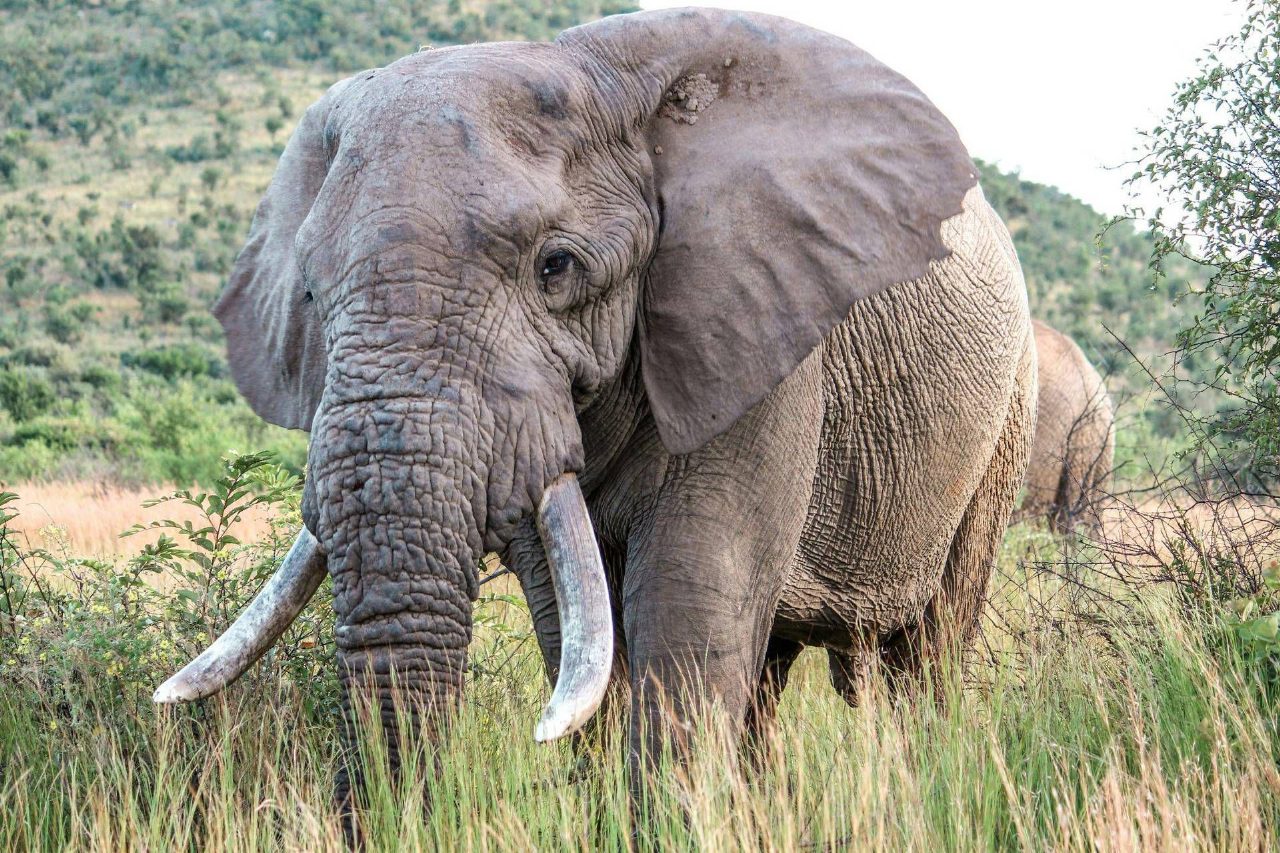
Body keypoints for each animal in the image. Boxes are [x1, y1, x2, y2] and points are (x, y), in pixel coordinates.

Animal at [154, 6, 1036, 820]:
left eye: (556, 267)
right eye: (308, 292)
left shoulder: (756, 334)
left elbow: (690, 591)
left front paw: (668, 822)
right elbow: (572, 622)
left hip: (1006, 418)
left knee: (929, 649)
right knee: (770, 666)